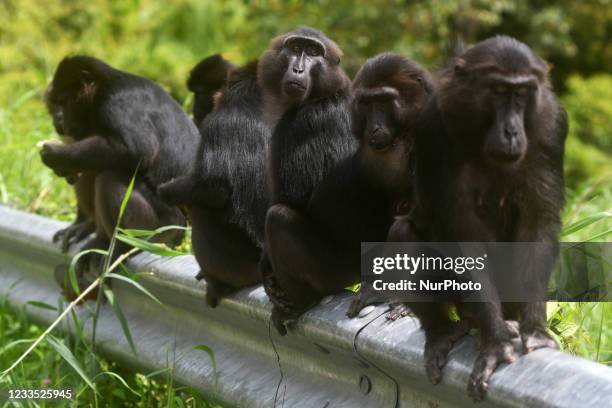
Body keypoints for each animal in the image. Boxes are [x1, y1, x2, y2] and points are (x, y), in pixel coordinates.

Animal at [390, 36, 568, 400]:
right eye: (498, 90)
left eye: (522, 93)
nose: (511, 130)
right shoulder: (432, 126)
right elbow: (463, 234)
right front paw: (497, 343)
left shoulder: (552, 128)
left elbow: (538, 222)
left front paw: (535, 330)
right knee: (404, 236)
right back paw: (444, 332)